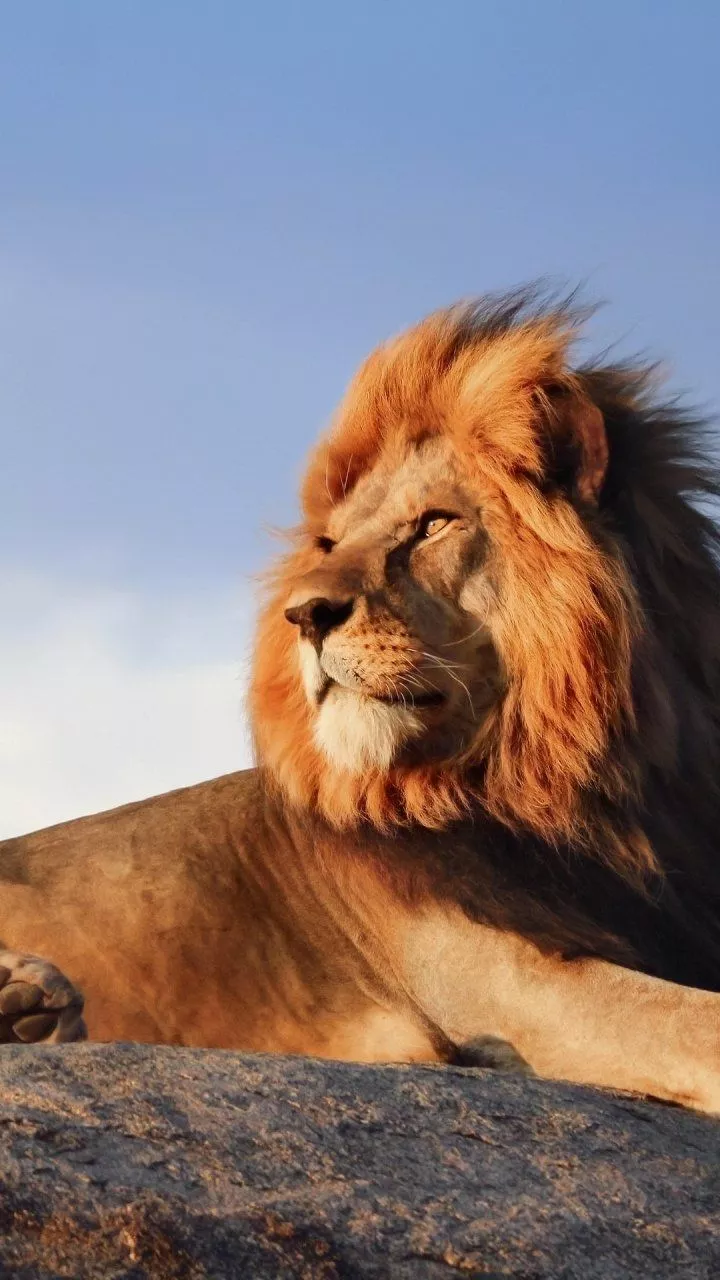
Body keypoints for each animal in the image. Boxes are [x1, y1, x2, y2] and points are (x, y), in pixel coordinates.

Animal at [3, 288, 720, 1112]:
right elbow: (702, 1026)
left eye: (433, 524)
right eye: (330, 546)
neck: (582, 792)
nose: (306, 615)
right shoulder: (511, 986)